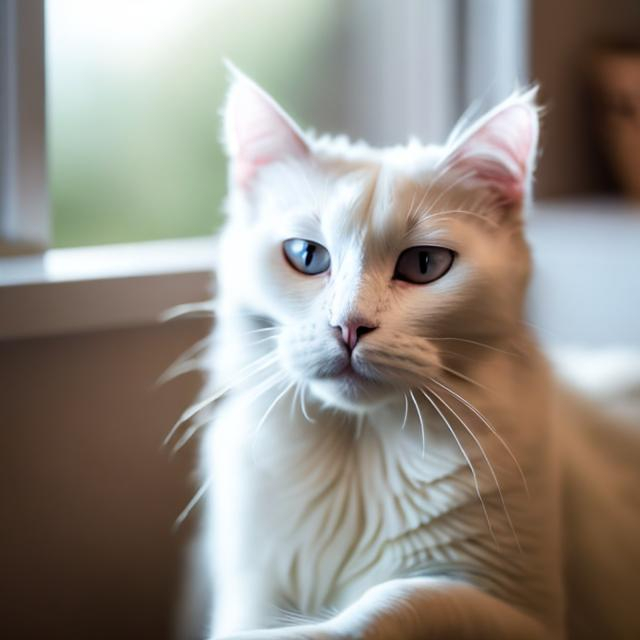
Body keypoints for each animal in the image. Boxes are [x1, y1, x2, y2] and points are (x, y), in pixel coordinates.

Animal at [185, 67, 640, 636]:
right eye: (307, 256)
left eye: (424, 264)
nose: (349, 326)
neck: (356, 457)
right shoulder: (248, 597)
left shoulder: (525, 616)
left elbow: (393, 601)